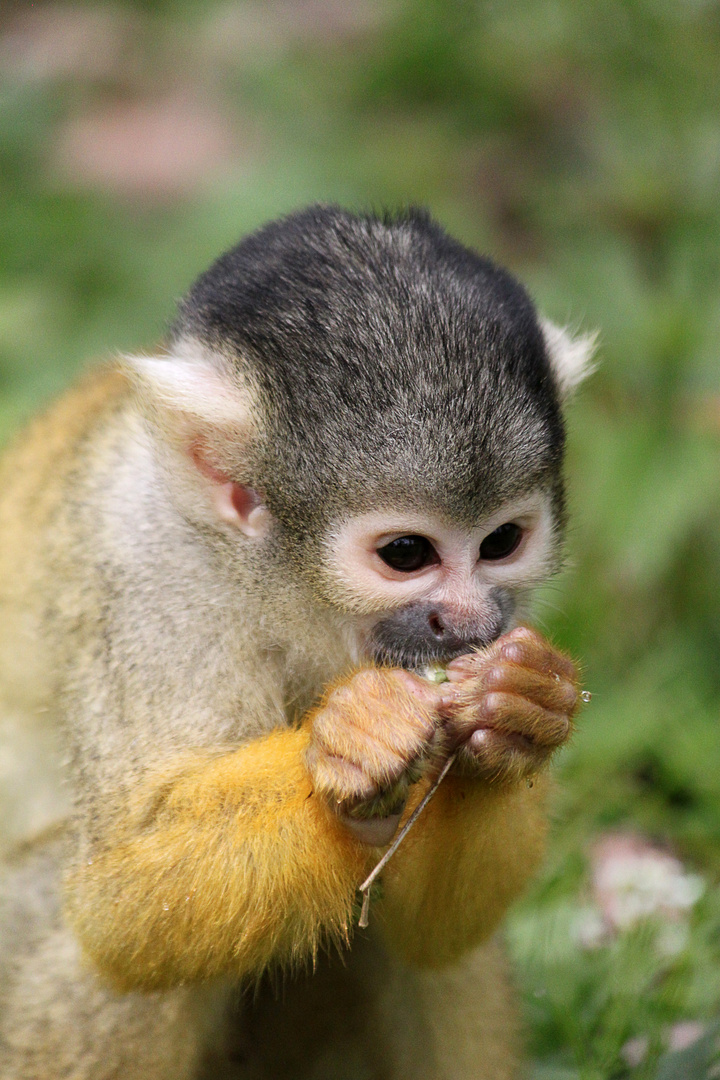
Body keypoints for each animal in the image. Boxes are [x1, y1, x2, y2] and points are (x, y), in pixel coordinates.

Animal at [0, 206, 591, 1075]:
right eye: (406, 554)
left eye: (502, 542)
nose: (470, 622)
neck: (289, 595)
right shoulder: (148, 569)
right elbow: (121, 900)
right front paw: (346, 742)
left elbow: (438, 937)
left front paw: (519, 711)